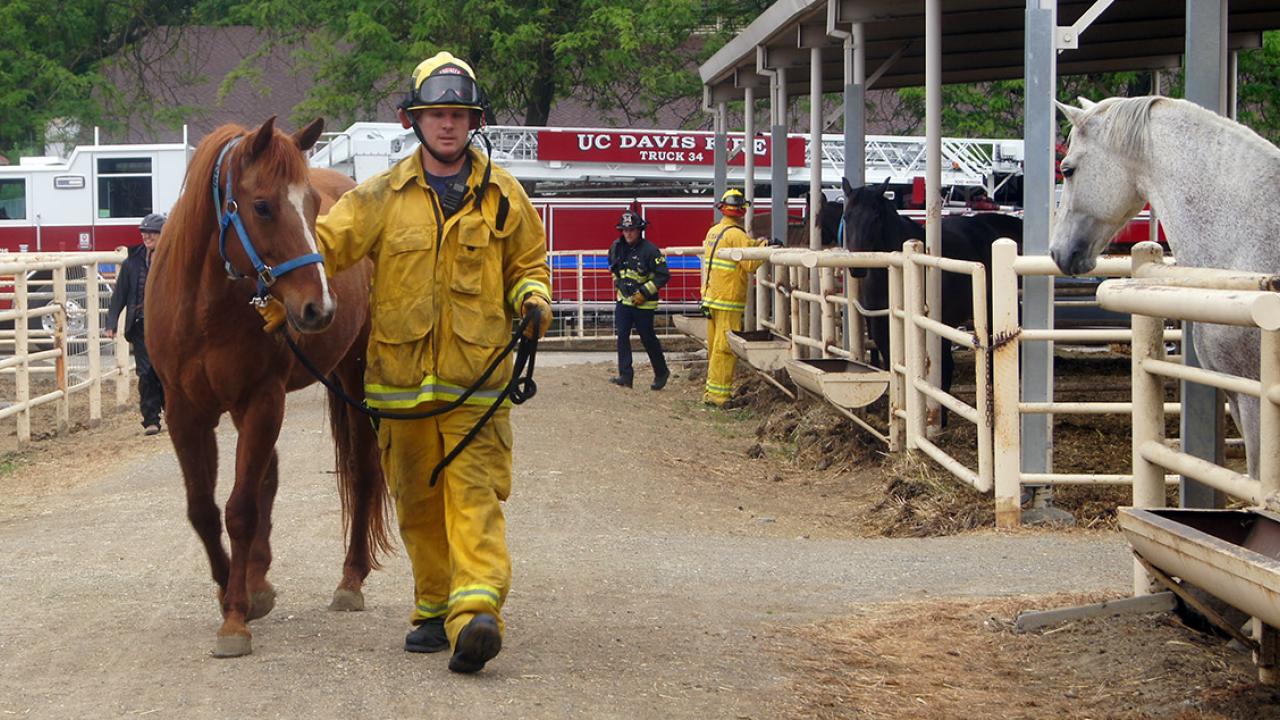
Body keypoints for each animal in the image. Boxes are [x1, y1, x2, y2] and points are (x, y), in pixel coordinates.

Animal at [145, 118, 391, 657]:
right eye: (261, 206)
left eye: (313, 205)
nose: (319, 307)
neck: (204, 304)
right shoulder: (185, 412)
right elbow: (203, 509)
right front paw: (231, 591)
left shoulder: (261, 400)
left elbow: (240, 509)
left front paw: (235, 618)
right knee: (269, 479)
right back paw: (257, 578)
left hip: (354, 378)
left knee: (362, 473)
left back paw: (350, 579)